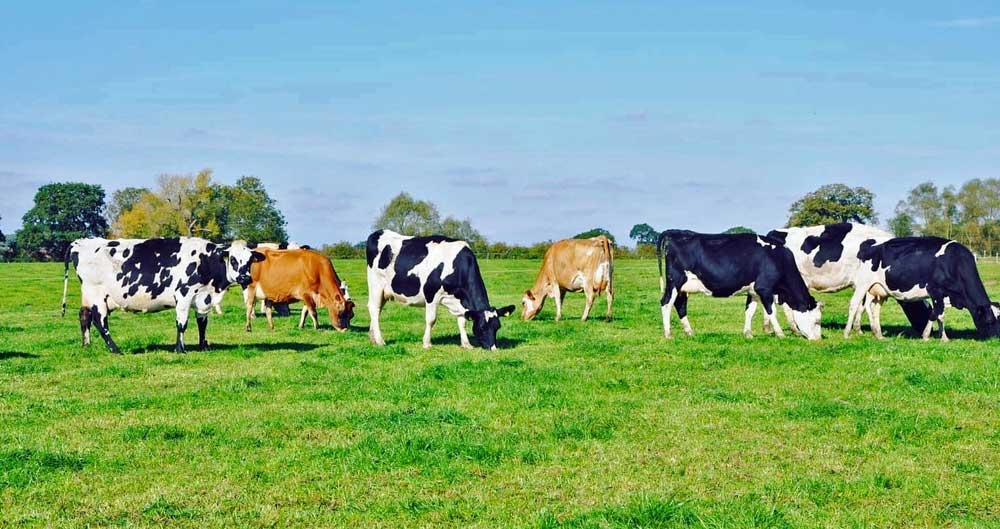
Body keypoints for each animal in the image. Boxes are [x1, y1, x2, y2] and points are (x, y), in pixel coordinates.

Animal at [61, 237, 266, 352]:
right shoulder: (183, 295)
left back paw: (86, 345)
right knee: (100, 321)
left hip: (90, 296)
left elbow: (202, 324)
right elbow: (182, 324)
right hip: (97, 295)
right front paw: (180, 349)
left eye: (250, 261)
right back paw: (115, 349)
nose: (245, 278)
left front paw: (203, 346)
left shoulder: (203, 298)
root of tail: (81, 242)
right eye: (233, 259)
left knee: (84, 316)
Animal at [366, 229, 516, 348]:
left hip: (385, 291)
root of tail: (379, 232)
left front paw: (466, 344)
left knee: (377, 310)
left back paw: (373, 338)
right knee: (374, 309)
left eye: (497, 326)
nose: (493, 349)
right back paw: (380, 341)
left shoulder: (460, 301)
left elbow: (462, 322)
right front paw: (427, 343)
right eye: (482, 327)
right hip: (376, 284)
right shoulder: (431, 294)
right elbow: (431, 320)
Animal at [656, 228, 820, 338]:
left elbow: (750, 311)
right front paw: (780, 334)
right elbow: (771, 311)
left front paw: (748, 333)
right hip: (675, 281)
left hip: (683, 288)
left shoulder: (753, 290)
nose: (818, 339)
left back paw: (689, 332)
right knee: (666, 303)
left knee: (680, 305)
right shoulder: (764, 288)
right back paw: (668, 334)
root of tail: (675, 232)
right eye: (817, 321)